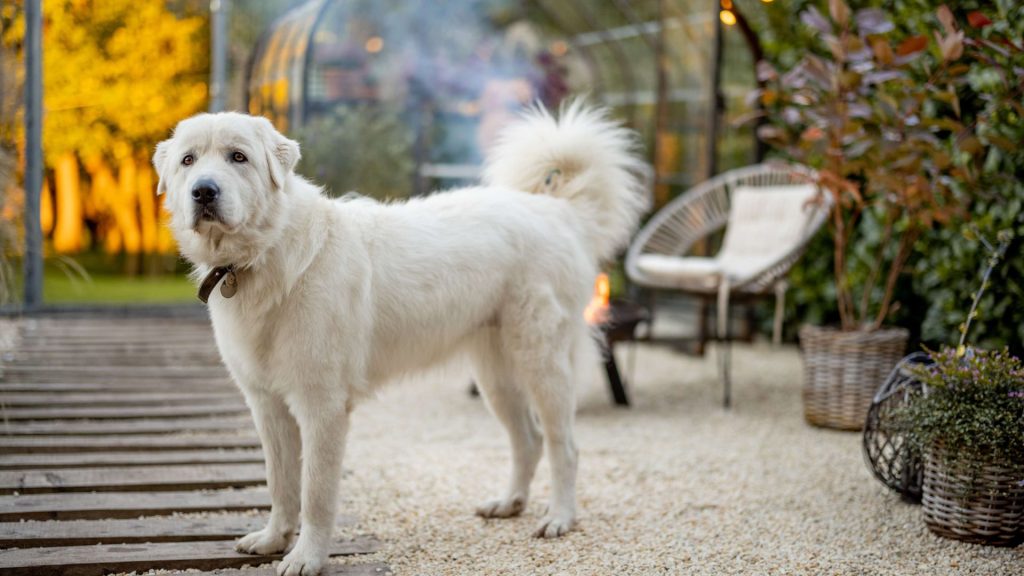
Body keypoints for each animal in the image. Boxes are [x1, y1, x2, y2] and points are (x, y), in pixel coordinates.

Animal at [151, 103, 647, 573]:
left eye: (238, 157)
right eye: (188, 161)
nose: (204, 191)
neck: (267, 256)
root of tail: (559, 211)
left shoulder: (322, 407)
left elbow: (315, 492)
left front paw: (307, 557)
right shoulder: (267, 404)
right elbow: (279, 482)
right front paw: (274, 539)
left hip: (543, 365)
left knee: (565, 446)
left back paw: (559, 518)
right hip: (495, 377)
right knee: (528, 440)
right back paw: (509, 504)